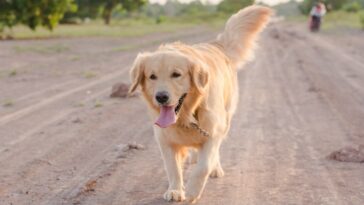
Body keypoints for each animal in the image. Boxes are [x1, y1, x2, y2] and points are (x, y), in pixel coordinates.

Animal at [128, 5, 270, 203]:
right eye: (152, 76)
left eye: (176, 74)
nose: (161, 97)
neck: (187, 115)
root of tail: (216, 45)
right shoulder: (165, 140)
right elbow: (172, 168)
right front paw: (175, 190)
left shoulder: (212, 133)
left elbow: (204, 166)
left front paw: (192, 192)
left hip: (226, 119)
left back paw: (215, 168)